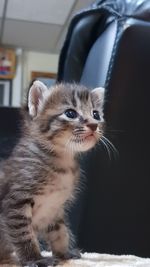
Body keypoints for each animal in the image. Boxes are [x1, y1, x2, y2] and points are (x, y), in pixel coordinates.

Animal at [0, 81, 104, 267]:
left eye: (96, 114)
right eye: (70, 113)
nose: (94, 125)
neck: (62, 161)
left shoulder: (55, 208)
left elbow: (61, 232)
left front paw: (64, 253)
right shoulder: (15, 202)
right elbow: (24, 234)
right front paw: (34, 258)